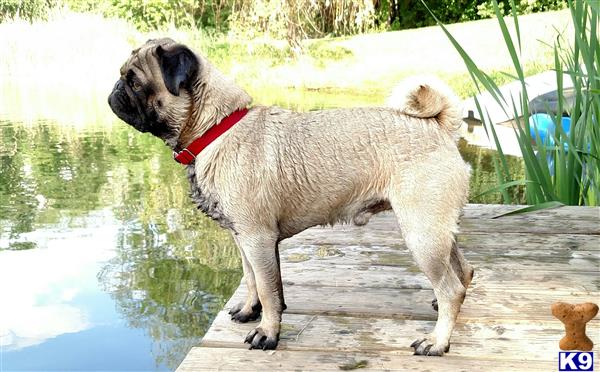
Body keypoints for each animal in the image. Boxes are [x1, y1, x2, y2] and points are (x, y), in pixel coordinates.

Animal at [106, 37, 474, 354]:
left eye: (135, 82)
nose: (114, 90)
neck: (215, 128)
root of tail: (438, 125)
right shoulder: (244, 240)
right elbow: (253, 280)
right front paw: (249, 311)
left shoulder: (257, 239)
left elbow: (269, 290)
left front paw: (267, 333)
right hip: (436, 230)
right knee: (463, 271)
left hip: (420, 234)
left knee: (451, 288)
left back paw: (437, 341)